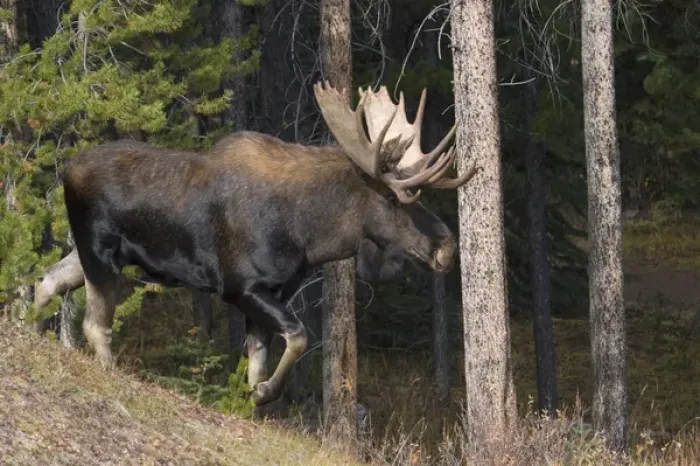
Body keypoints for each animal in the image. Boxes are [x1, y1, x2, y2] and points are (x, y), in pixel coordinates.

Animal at [36, 81, 479, 406]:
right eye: (395, 199)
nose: (447, 247)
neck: (309, 235)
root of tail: (66, 171)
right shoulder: (240, 287)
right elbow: (298, 337)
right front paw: (265, 394)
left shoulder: (275, 290)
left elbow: (257, 360)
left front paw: (254, 397)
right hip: (101, 253)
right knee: (94, 324)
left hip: (90, 252)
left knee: (47, 282)